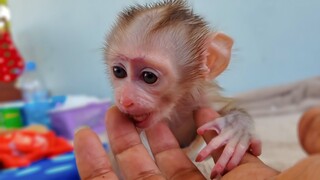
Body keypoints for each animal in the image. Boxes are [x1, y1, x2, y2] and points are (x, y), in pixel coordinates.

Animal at [104, 0, 260, 177]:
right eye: (119, 71)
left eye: (149, 76)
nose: (125, 100)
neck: (175, 107)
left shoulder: (205, 97)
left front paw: (236, 126)